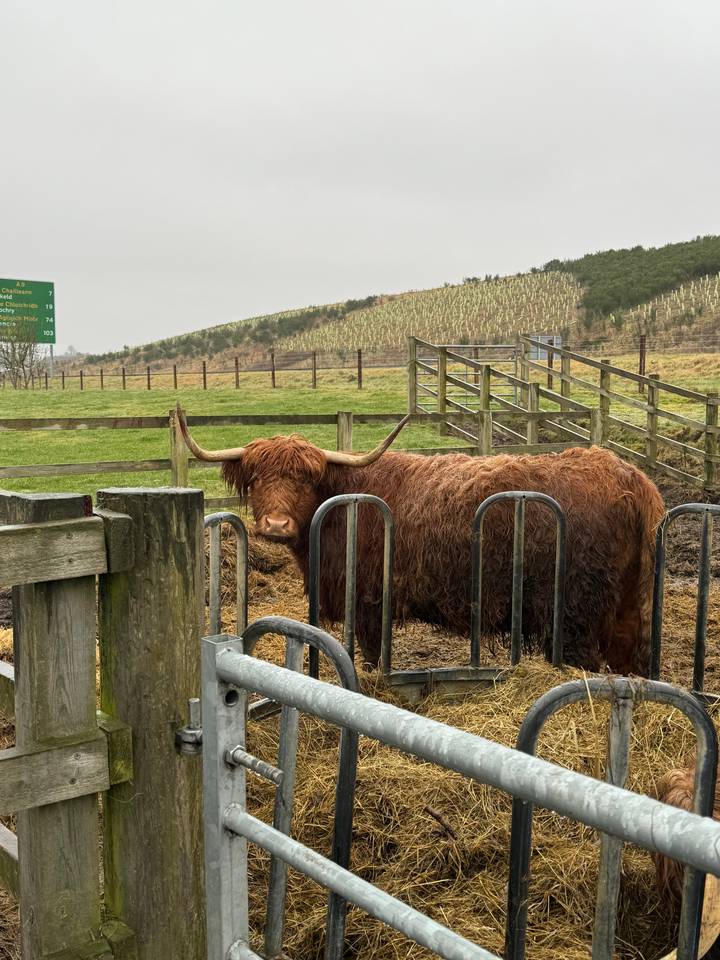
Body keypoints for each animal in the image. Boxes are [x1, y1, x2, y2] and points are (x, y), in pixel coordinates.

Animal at [177, 407, 664, 674]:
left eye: (304, 479)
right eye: (257, 477)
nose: (276, 525)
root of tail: (631, 478)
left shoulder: (368, 600)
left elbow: (370, 657)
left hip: (576, 614)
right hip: (624, 609)